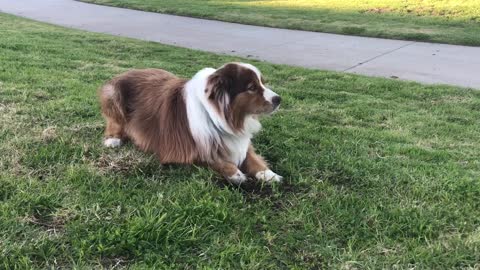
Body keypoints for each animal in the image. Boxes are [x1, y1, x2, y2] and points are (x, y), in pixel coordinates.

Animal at [99, 61, 284, 184]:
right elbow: (210, 159)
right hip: (113, 94)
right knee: (114, 123)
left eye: (262, 83)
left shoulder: (240, 144)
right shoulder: (181, 150)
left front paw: (268, 174)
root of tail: (126, 72)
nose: (278, 99)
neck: (220, 117)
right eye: (252, 87)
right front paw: (234, 173)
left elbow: (253, 159)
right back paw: (113, 139)